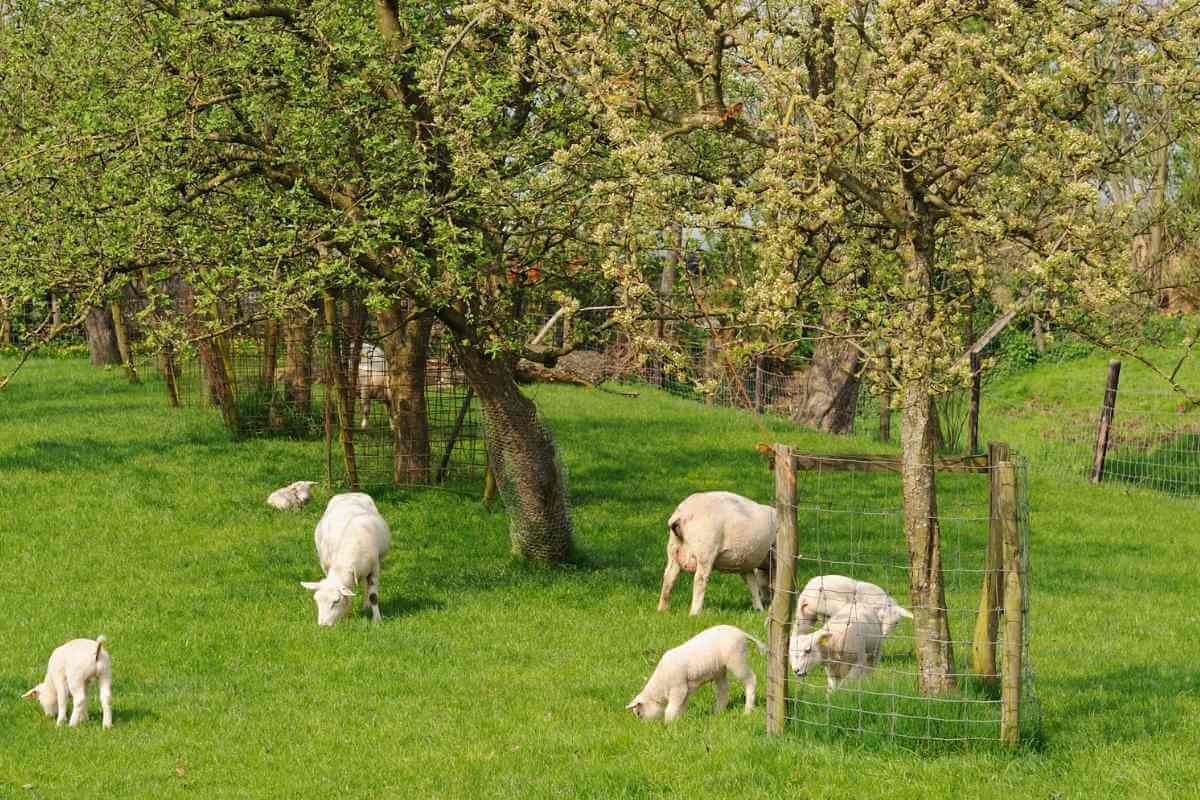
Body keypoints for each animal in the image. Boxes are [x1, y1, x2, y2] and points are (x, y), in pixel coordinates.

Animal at [301, 492, 392, 626]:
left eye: (336, 601)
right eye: (316, 600)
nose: (323, 626)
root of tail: (350, 493)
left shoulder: (374, 568)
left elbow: (373, 596)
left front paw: (377, 620)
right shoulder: (328, 566)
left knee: (366, 586)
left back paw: (366, 606)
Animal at [626, 625, 766, 723]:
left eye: (638, 713)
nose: (645, 726)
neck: (660, 685)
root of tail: (740, 632)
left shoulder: (678, 688)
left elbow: (672, 708)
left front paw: (668, 723)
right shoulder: (685, 690)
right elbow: (681, 706)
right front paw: (680, 720)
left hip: (736, 660)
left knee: (751, 680)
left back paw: (748, 710)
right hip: (719, 670)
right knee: (723, 690)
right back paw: (718, 712)